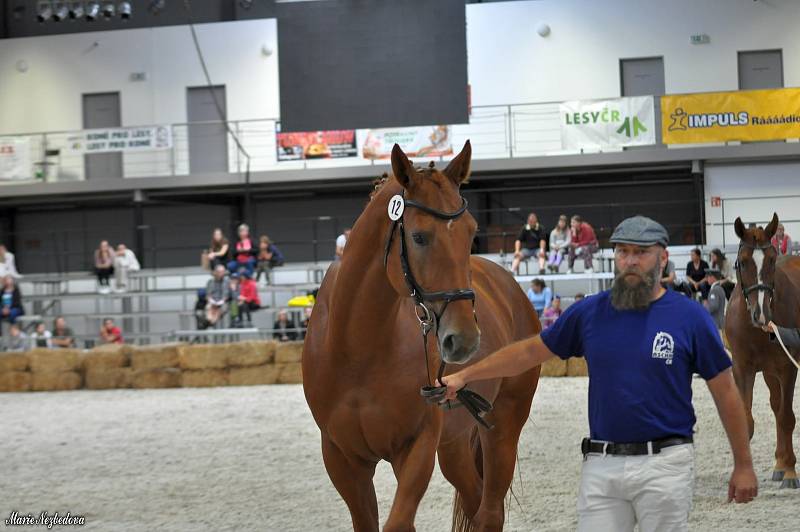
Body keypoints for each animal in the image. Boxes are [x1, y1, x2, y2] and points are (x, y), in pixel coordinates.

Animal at [304, 142, 540, 532]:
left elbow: (399, 523)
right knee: (475, 501)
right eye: (418, 237)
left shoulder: (417, 447)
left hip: (503, 426)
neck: (357, 350)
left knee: (490, 512)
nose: (465, 339)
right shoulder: (342, 458)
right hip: (455, 445)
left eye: (471, 232)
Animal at [724, 214, 800, 488]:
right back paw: (779, 464)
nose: (761, 314)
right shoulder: (742, 369)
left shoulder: (788, 368)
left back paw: (785, 466)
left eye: (772, 260)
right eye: (743, 262)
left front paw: (791, 472)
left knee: (781, 412)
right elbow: (746, 423)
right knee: (775, 405)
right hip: (768, 373)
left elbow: (787, 418)